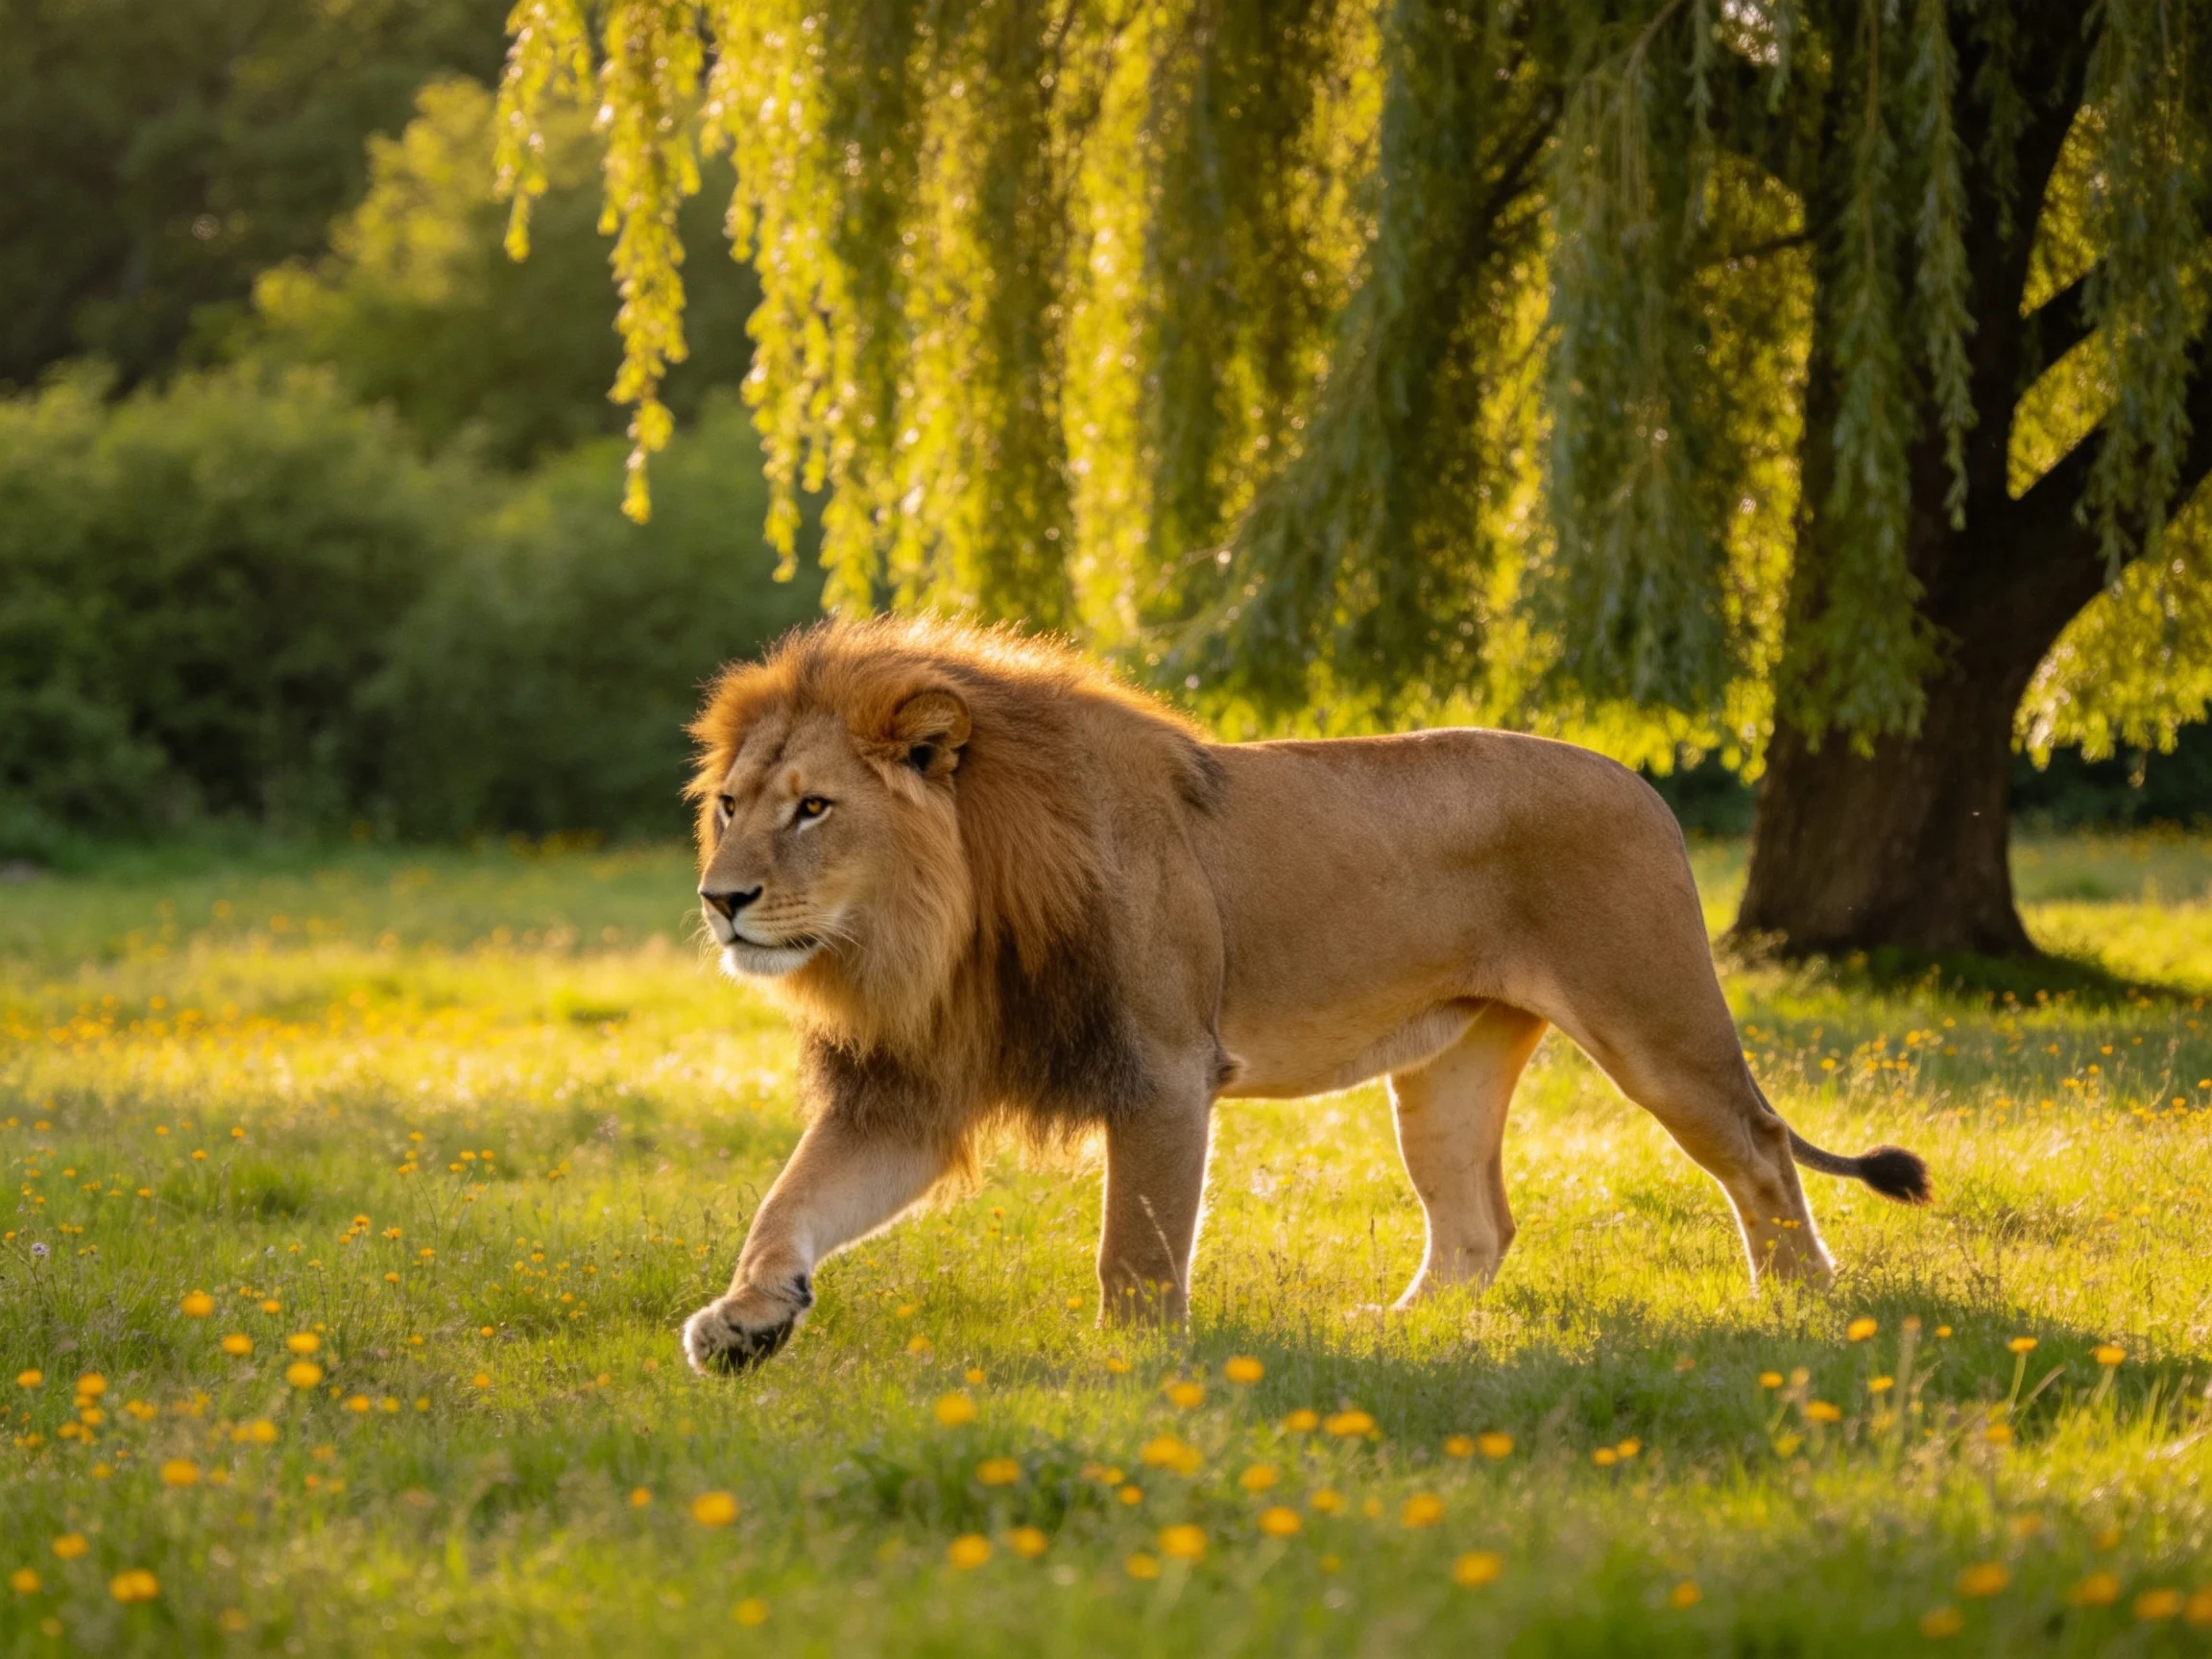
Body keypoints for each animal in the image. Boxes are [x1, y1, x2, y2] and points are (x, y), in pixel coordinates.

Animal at [678, 616, 1928, 1373]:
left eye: (814, 808)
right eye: (732, 803)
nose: (719, 899)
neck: (938, 933)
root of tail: (1640, 782)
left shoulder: (1164, 1074)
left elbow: (1136, 1251)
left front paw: (1135, 1371)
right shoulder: (909, 1092)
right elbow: (788, 1203)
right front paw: (746, 1320)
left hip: (1654, 1021)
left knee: (1760, 1149)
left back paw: (1803, 1310)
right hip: (1446, 1073)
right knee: (1479, 1222)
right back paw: (1403, 1335)